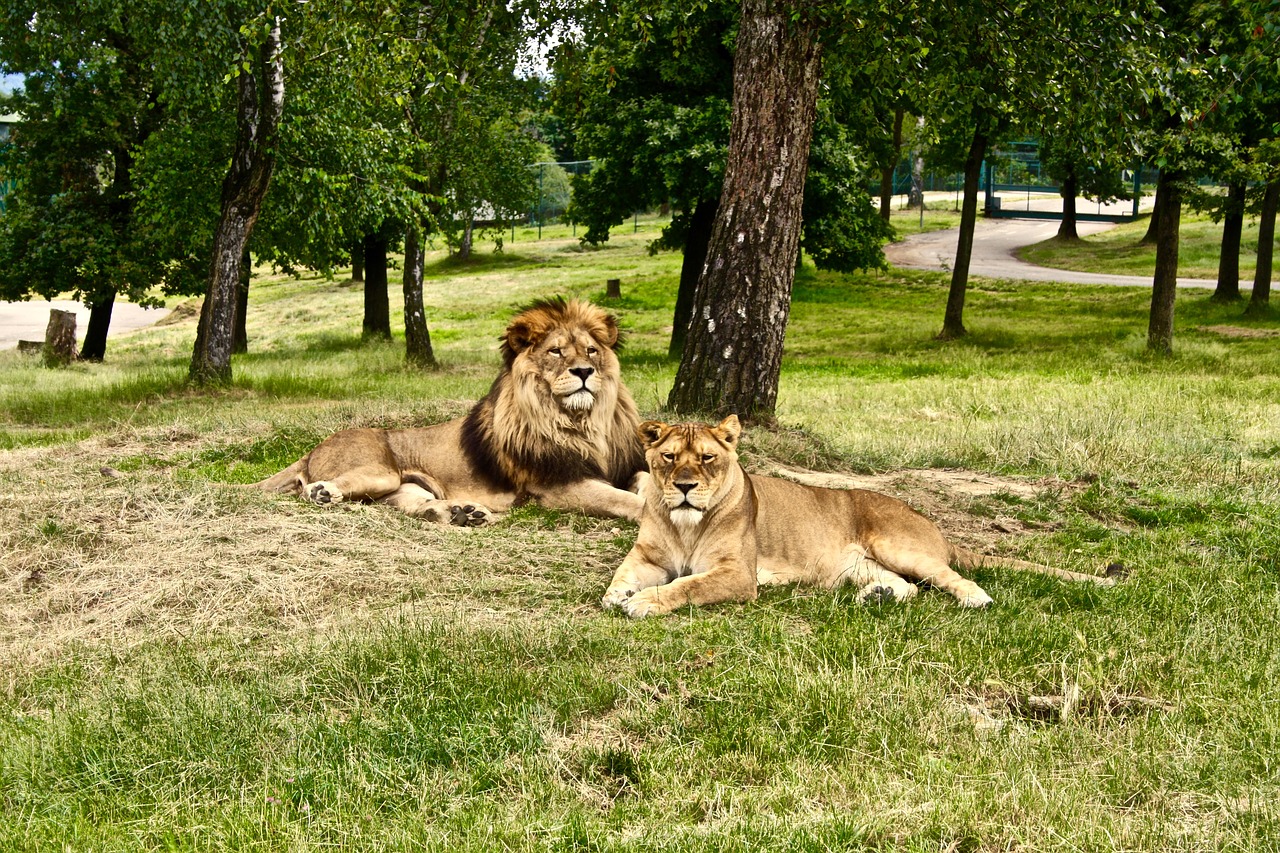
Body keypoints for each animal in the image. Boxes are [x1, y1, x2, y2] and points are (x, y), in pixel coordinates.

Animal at [253, 298, 645, 525]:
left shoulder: (623, 465)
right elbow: (628, 500)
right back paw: (323, 493)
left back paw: (462, 512)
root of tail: (314, 448)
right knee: (316, 490)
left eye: (591, 350)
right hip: (380, 472)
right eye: (555, 351)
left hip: (403, 487)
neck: (581, 421)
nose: (584, 371)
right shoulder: (558, 486)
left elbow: (643, 481)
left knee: (408, 506)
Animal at [604, 414, 1116, 614]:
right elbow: (621, 574)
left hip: (899, 545)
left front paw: (644, 601)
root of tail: (931, 523)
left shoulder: (737, 575)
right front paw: (620, 594)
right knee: (908, 587)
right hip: (856, 567)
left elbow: (687, 586)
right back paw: (878, 596)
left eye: (707, 458)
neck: (684, 526)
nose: (685, 487)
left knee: (950, 578)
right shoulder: (648, 556)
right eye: (670, 458)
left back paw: (976, 599)